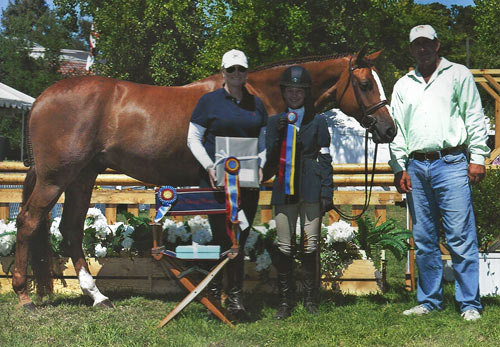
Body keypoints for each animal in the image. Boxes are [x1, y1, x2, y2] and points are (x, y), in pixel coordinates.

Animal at [12, 47, 394, 308]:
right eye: (364, 84)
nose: (388, 129)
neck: (255, 98)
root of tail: (43, 98)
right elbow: (232, 235)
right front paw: (226, 297)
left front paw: (219, 293)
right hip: (56, 177)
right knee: (29, 221)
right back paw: (23, 294)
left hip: (82, 177)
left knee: (71, 229)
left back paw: (97, 296)